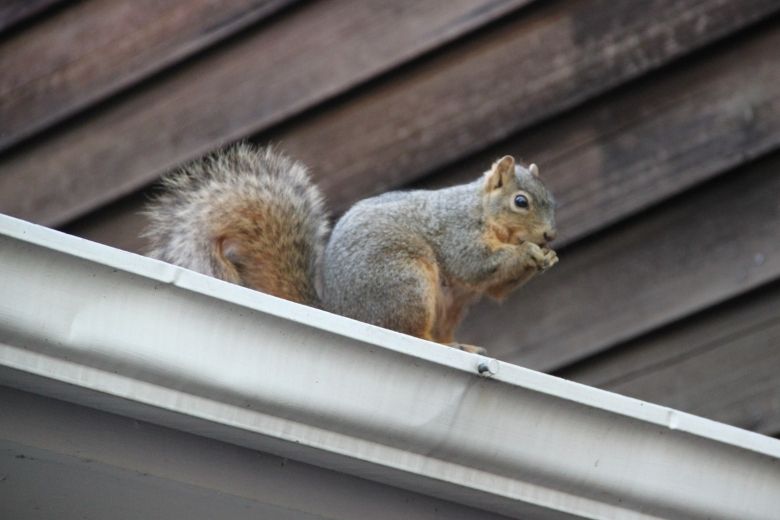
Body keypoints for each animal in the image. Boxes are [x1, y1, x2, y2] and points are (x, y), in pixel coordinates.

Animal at [144, 143, 558, 354]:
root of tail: (342, 312)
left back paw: (460, 346)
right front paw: (528, 253)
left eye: (552, 200)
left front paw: (547, 258)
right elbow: (476, 265)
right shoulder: (456, 231)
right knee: (408, 331)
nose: (550, 236)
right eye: (521, 202)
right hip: (405, 282)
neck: (481, 211)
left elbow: (496, 288)